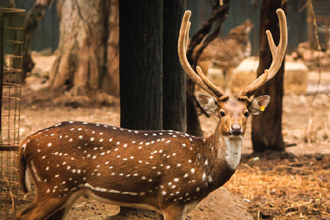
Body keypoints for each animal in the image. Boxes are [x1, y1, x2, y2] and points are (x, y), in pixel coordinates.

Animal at [16, 8, 286, 220]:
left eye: (246, 113)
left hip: (67, 192)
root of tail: (25, 143)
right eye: (221, 112)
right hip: (54, 184)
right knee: (22, 214)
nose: (235, 129)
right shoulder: (173, 197)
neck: (204, 169)